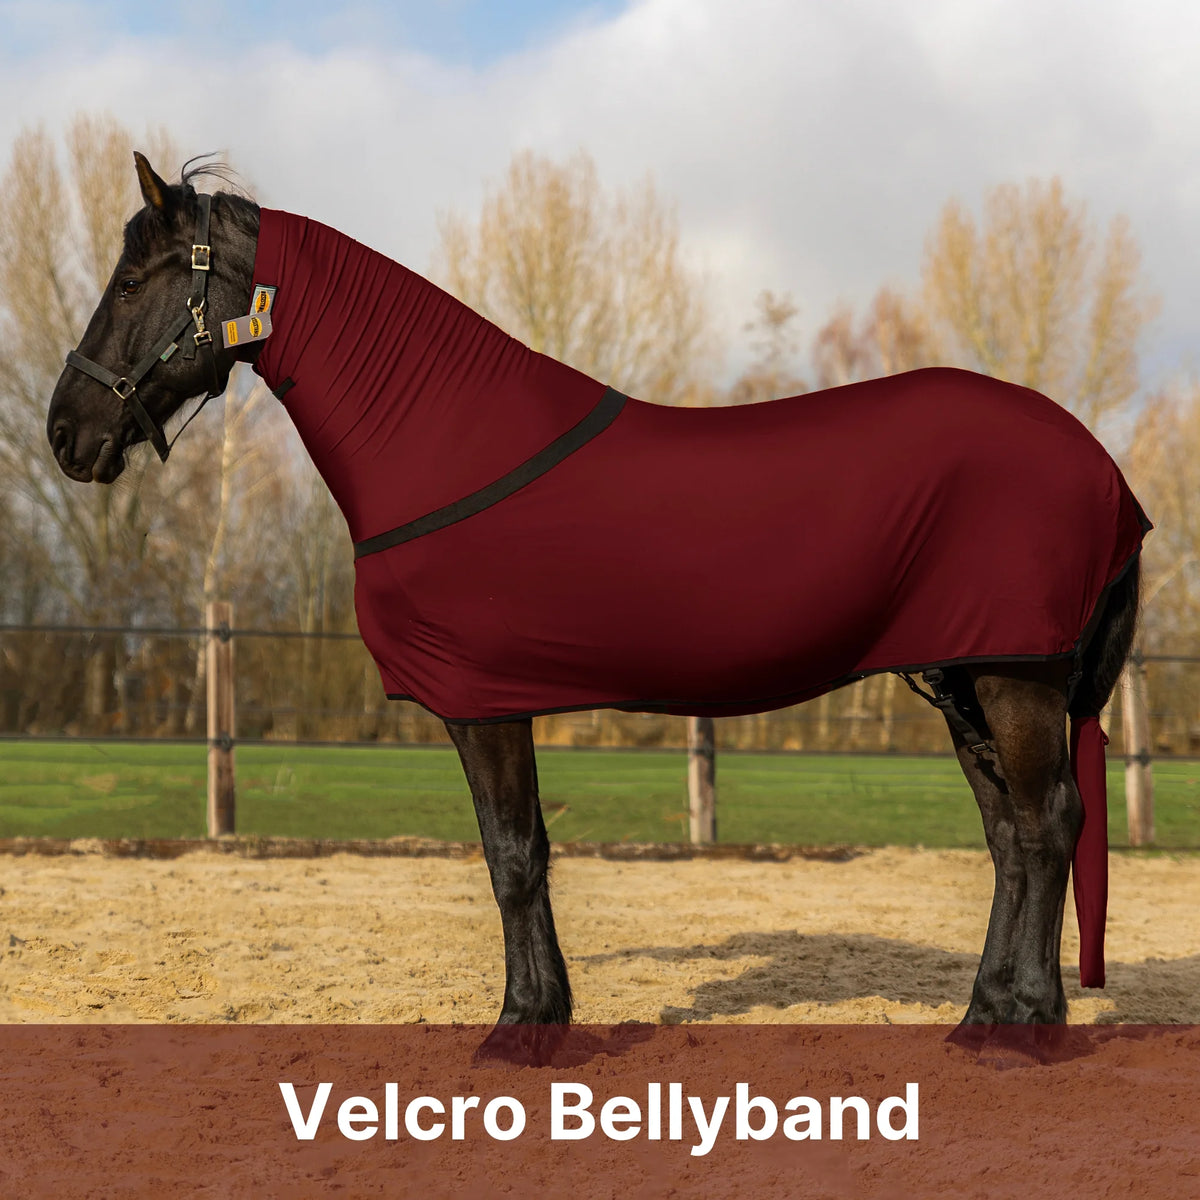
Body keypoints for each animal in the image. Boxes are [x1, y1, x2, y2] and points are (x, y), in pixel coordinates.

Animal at [46, 154, 1148, 1064]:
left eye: (134, 281)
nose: (65, 431)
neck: (443, 441)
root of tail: (1103, 468)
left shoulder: (482, 701)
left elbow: (512, 856)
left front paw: (522, 1028)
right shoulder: (497, 700)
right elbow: (524, 852)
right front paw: (544, 1015)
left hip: (1014, 675)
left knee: (1047, 822)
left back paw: (1025, 1030)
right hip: (965, 674)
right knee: (1009, 835)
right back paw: (985, 1016)